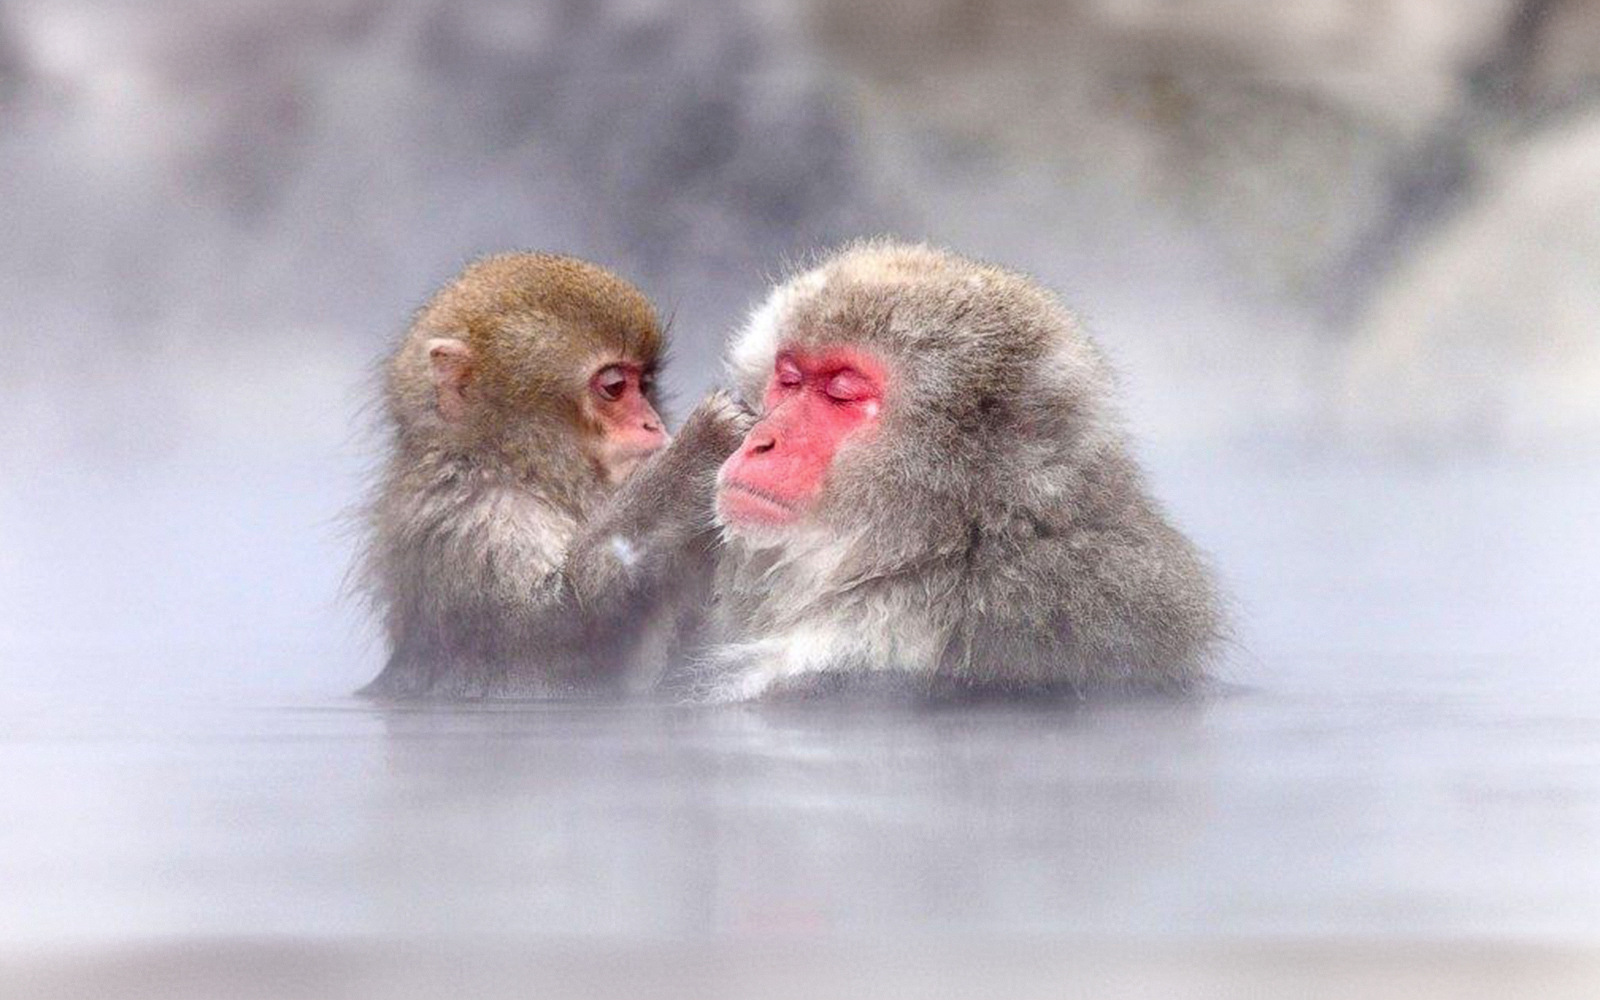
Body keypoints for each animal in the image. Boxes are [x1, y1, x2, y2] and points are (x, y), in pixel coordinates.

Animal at [355, 252, 749, 699]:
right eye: (615, 386)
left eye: (645, 385)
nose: (653, 423)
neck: (518, 470)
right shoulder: (474, 522)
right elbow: (560, 628)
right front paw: (697, 452)